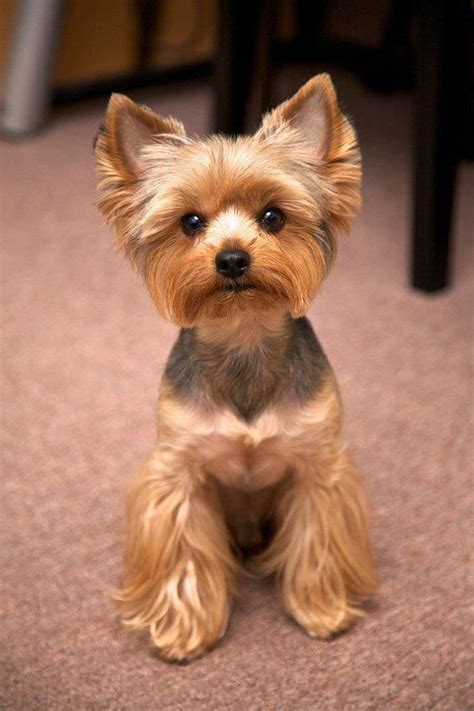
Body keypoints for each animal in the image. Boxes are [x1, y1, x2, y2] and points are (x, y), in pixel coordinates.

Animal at [95, 73, 378, 660]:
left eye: (273, 216)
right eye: (190, 222)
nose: (230, 258)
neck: (243, 335)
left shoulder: (319, 468)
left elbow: (316, 539)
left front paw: (320, 608)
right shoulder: (178, 474)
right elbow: (184, 554)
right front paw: (184, 629)